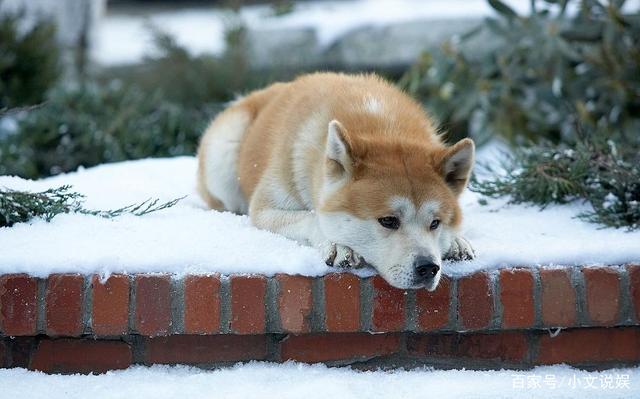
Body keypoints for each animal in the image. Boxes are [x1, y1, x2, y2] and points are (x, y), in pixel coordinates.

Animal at [196, 72, 476, 290]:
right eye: (388, 221)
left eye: (435, 223)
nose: (428, 268)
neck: (382, 127)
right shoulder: (264, 210)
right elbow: (311, 218)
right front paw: (338, 246)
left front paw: (456, 242)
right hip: (224, 152)